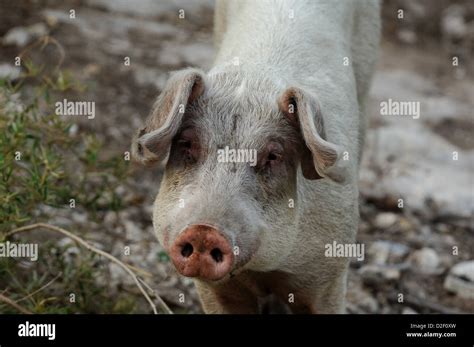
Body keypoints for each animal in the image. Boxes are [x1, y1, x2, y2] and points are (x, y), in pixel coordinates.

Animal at [131, 0, 380, 314]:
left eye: (273, 155)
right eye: (187, 143)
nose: (204, 230)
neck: (263, 269)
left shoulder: (329, 273)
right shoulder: (214, 289)